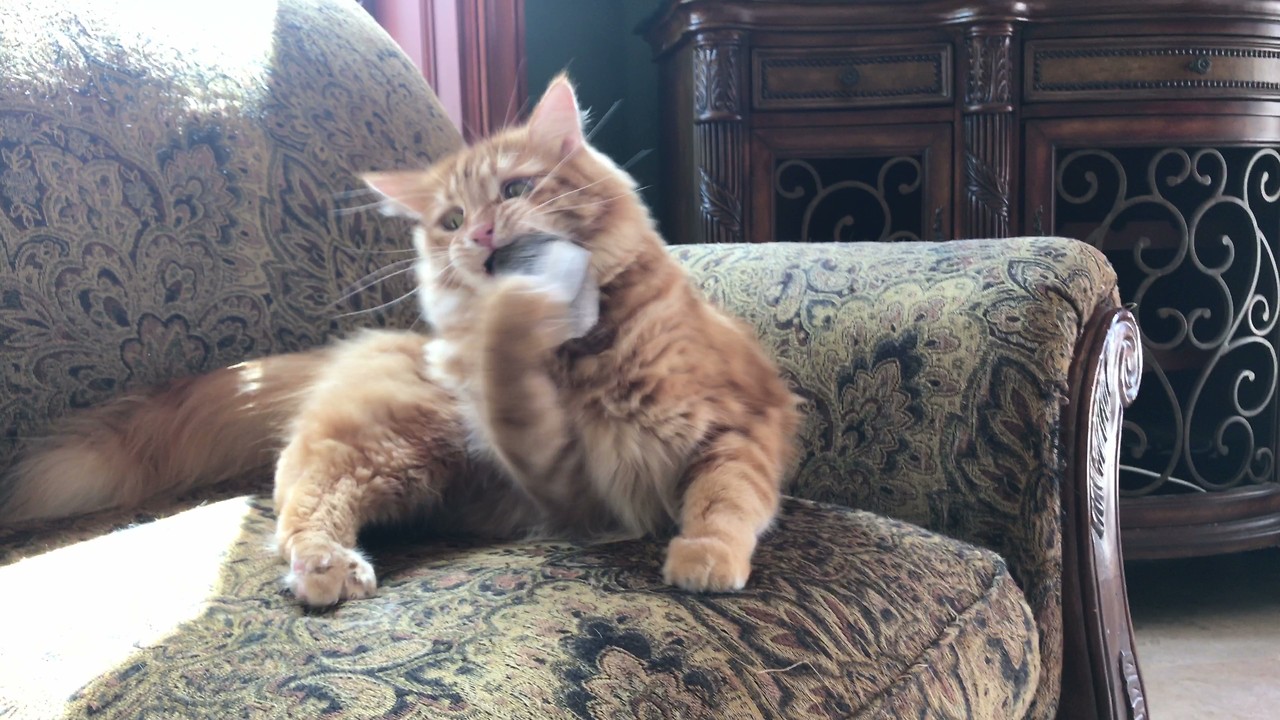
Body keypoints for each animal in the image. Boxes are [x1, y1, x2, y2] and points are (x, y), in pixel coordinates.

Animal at [0, 77, 798, 604]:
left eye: (514, 191)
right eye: (451, 220)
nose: (482, 235)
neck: (581, 356)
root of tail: (359, 347)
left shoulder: (740, 422)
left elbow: (725, 497)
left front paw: (704, 554)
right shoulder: (566, 481)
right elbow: (516, 394)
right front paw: (508, 323)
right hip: (389, 445)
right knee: (300, 504)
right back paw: (328, 570)